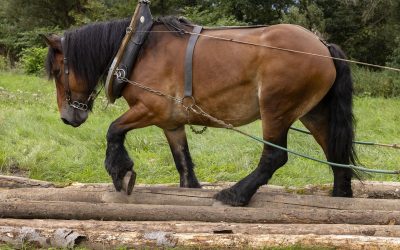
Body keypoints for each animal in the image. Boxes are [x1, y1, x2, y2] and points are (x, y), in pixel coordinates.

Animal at [43, 16, 356, 206]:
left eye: (58, 71)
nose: (67, 117)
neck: (137, 48)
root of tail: (322, 46)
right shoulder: (171, 122)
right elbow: (183, 162)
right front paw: (189, 189)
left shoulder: (152, 108)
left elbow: (114, 130)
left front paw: (121, 172)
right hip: (313, 113)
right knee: (336, 155)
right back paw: (340, 197)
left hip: (276, 109)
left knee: (274, 157)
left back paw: (235, 194)